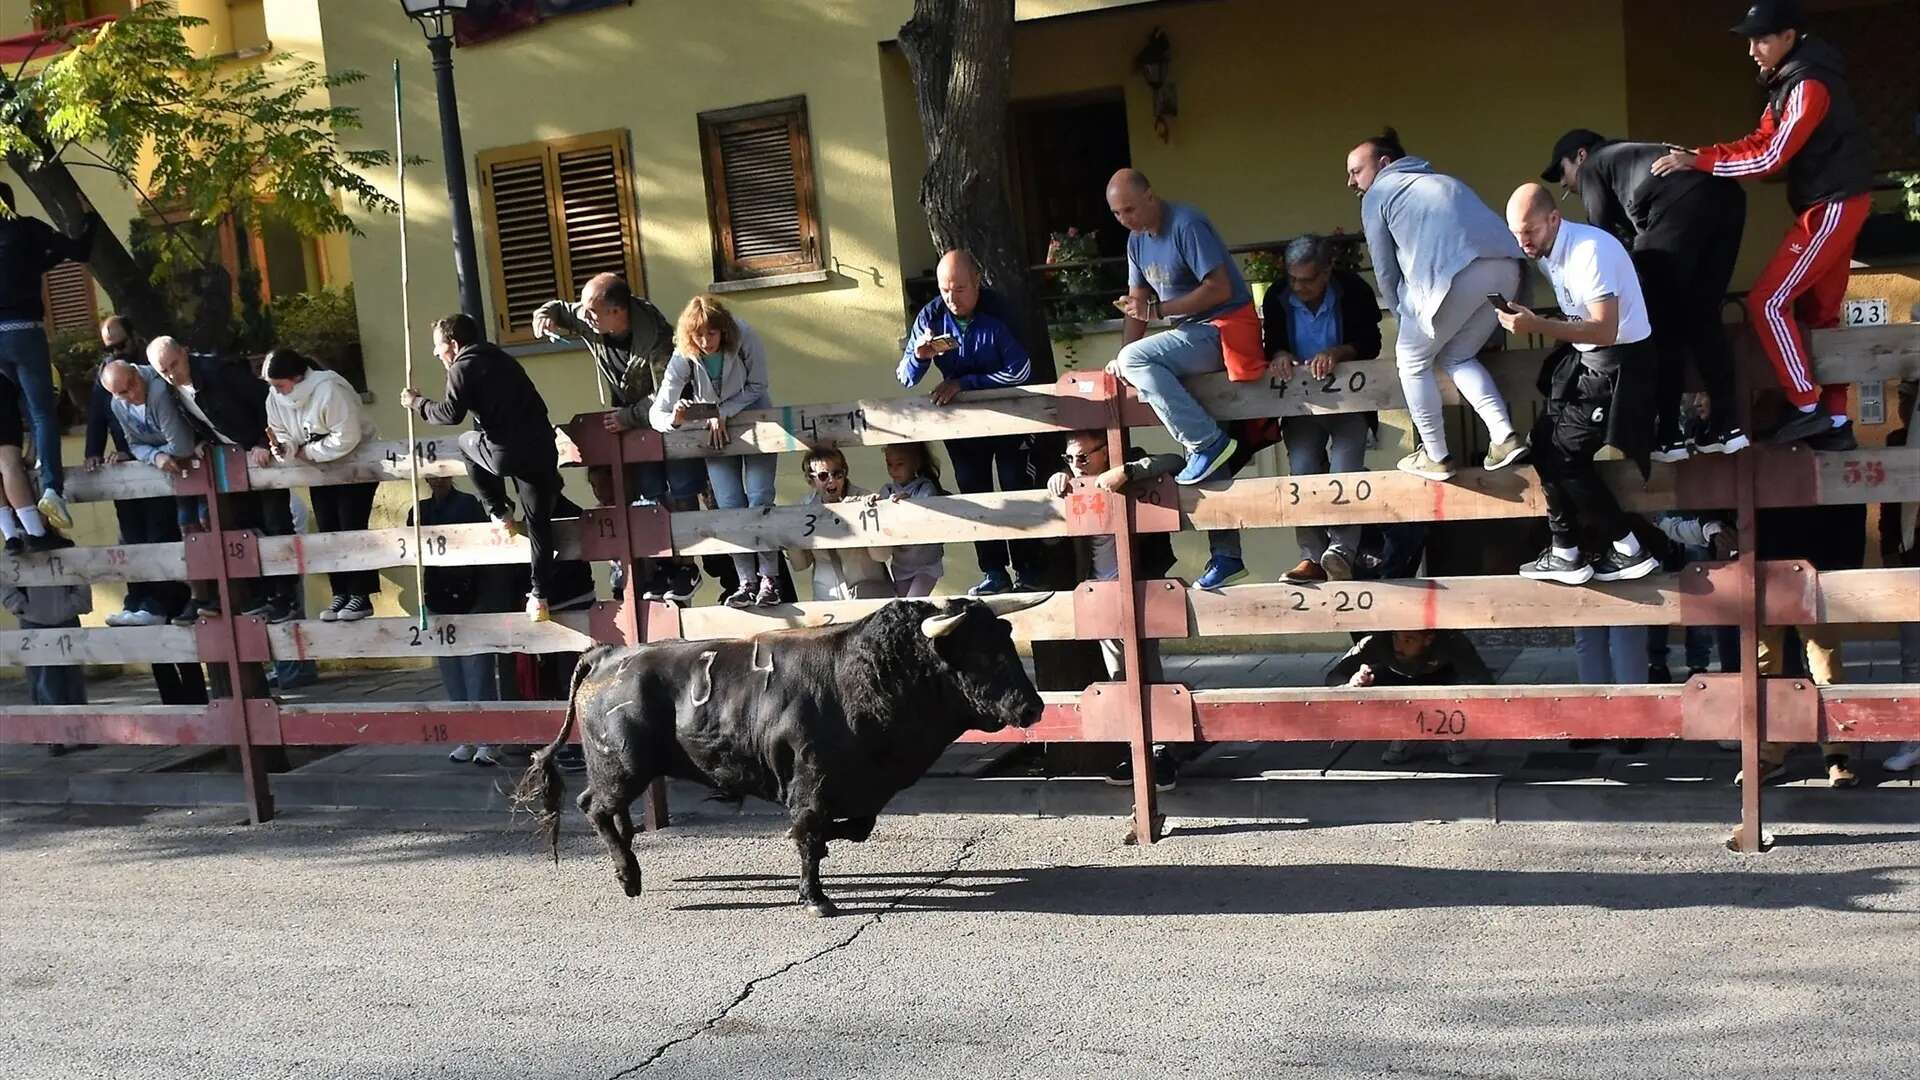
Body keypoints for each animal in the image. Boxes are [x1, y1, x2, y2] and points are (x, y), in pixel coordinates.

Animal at [518, 591, 1044, 910]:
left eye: (1006, 642)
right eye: (983, 653)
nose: (1033, 706)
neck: (866, 676)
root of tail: (607, 655)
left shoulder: (859, 790)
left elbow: (853, 828)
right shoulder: (812, 782)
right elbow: (809, 832)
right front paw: (815, 897)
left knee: (607, 811)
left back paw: (628, 857)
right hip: (622, 766)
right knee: (595, 807)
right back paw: (628, 876)